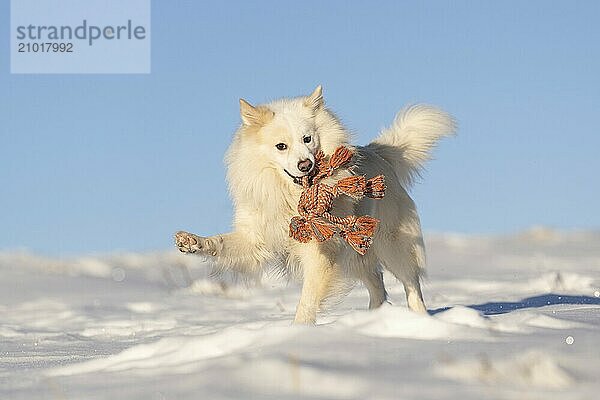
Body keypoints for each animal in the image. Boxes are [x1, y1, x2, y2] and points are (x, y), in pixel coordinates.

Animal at [175, 86, 454, 324]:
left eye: (307, 139)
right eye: (281, 146)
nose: (305, 165)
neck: (289, 195)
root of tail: (379, 153)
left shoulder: (321, 251)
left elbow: (307, 299)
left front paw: (299, 330)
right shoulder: (255, 239)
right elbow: (220, 243)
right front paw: (191, 241)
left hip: (391, 245)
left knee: (411, 285)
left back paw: (419, 322)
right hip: (355, 254)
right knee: (378, 285)